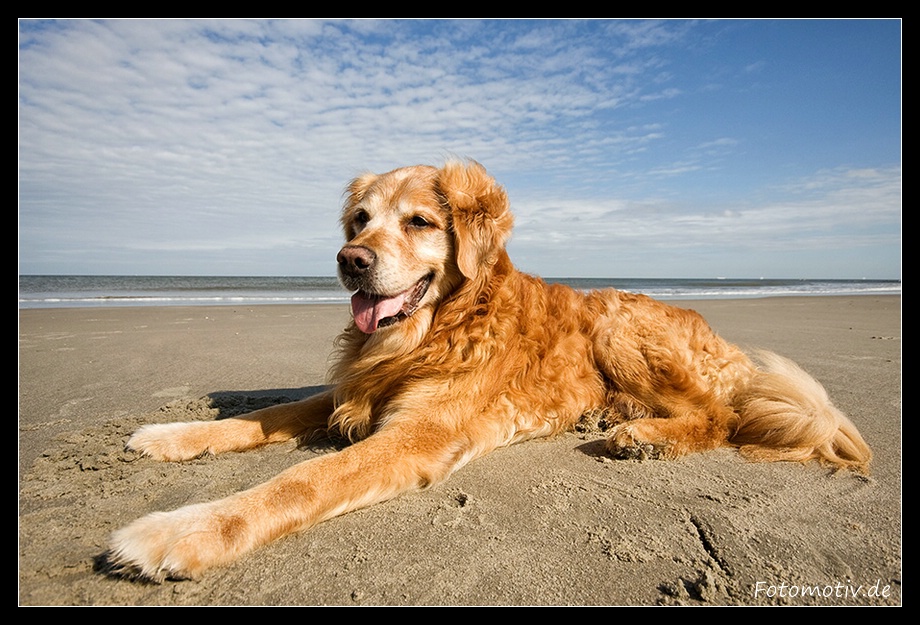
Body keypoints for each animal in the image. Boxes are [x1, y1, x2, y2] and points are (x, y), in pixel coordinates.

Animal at [104, 161, 872, 580]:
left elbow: (301, 480)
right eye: (359, 219)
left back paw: (645, 437)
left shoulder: (417, 432)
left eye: (417, 221)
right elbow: (265, 414)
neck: (437, 328)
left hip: (618, 321)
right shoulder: (352, 390)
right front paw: (170, 435)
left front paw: (182, 530)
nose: (349, 260)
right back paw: (614, 414)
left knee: (718, 415)